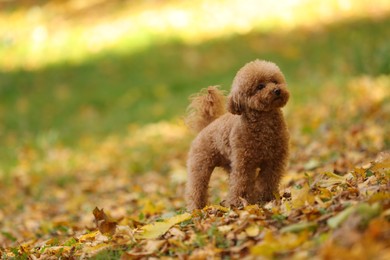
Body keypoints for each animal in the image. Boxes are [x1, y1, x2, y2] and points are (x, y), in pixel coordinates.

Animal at [185, 60, 290, 210]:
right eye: (260, 86)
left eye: (275, 81)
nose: (277, 90)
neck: (265, 123)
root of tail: (205, 127)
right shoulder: (244, 163)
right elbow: (242, 183)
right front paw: (239, 204)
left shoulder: (274, 160)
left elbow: (268, 180)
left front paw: (267, 198)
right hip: (200, 166)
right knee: (196, 188)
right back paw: (195, 209)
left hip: (229, 165)